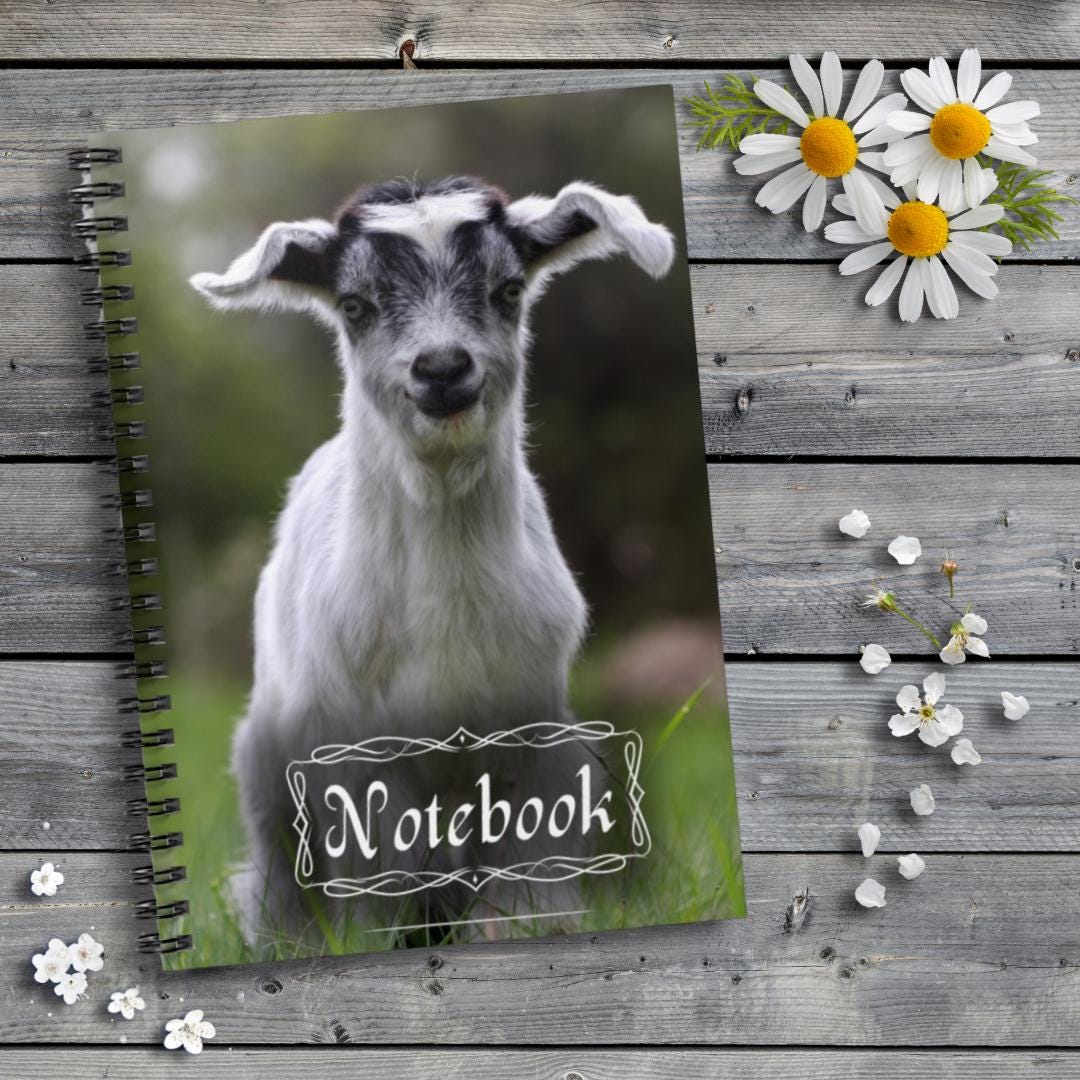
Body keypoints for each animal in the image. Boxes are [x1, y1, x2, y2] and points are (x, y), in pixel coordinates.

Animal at [190, 176, 675, 944]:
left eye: (509, 288)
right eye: (354, 305)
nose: (442, 369)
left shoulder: (531, 742)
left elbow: (523, 879)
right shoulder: (356, 759)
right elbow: (375, 875)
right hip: (266, 753)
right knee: (277, 865)